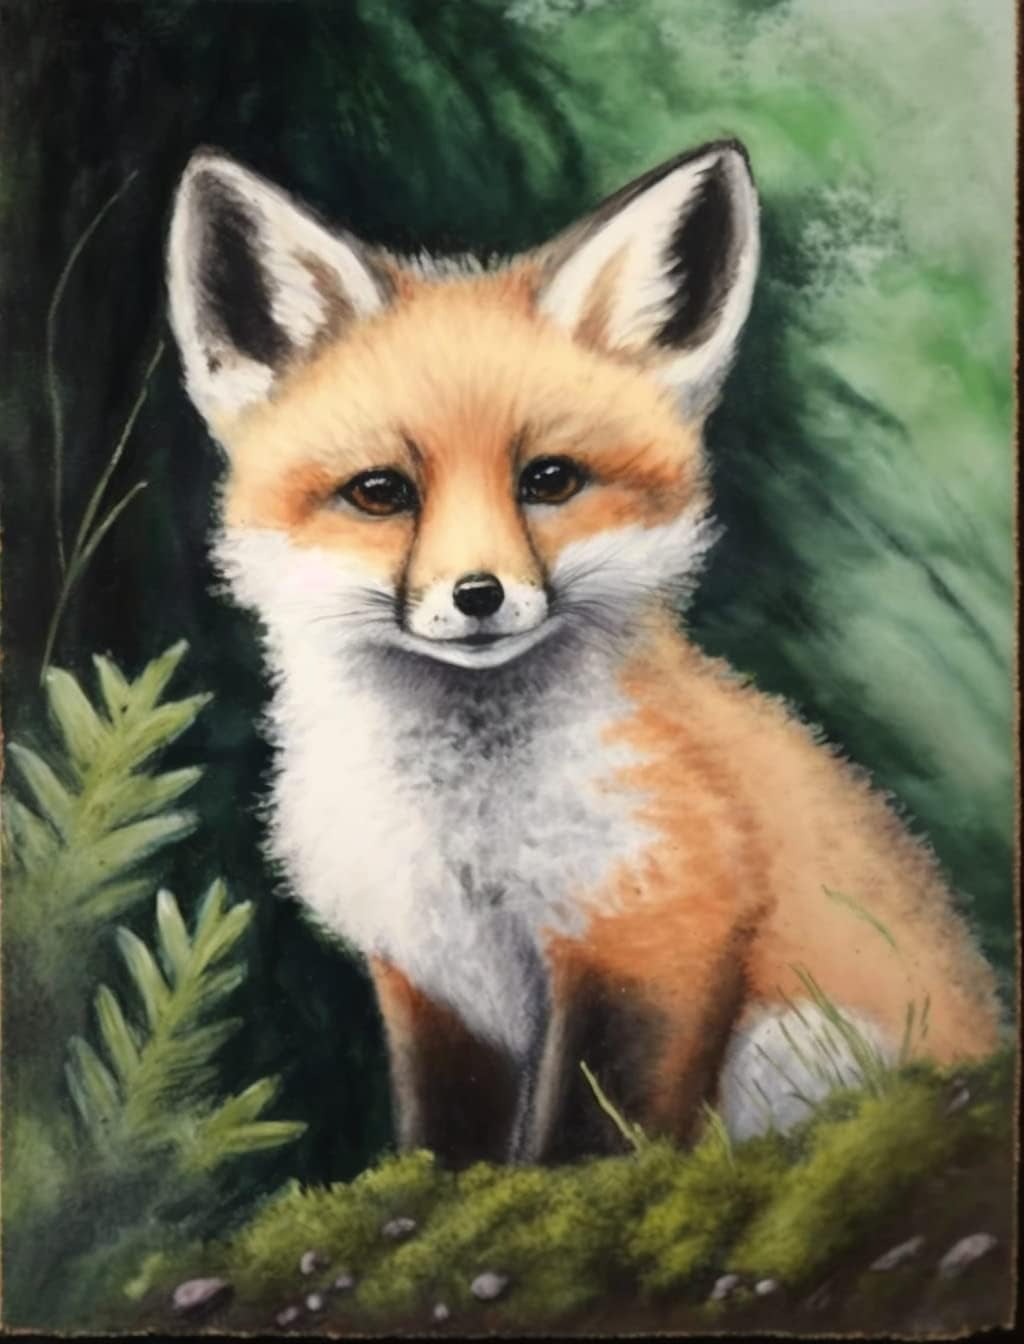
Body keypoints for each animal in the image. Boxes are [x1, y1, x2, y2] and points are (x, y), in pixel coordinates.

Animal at [165, 138, 1001, 1166]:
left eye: (550, 480)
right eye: (380, 492)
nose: (478, 595)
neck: (470, 834)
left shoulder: (654, 933)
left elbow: (592, 1138)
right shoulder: (430, 979)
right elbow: (445, 1141)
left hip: (801, 1042)